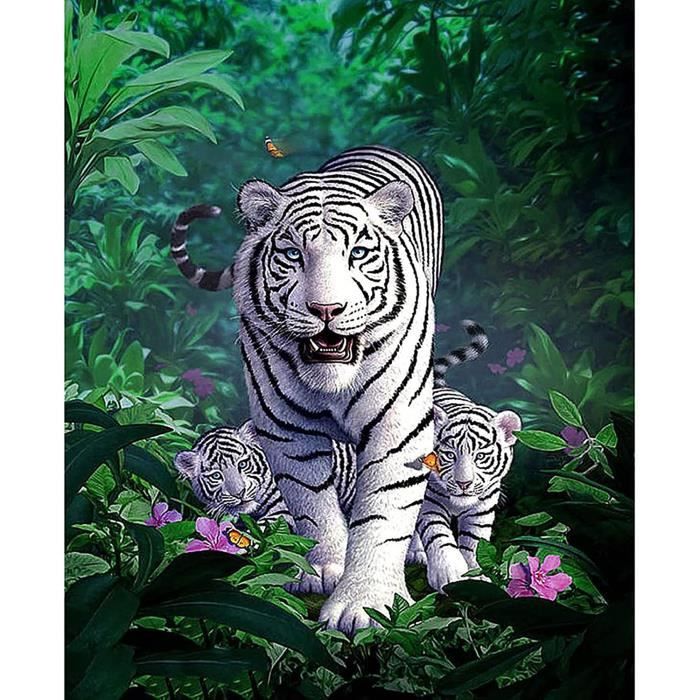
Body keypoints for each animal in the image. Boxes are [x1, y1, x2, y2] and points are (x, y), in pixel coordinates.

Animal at [170, 146, 443, 634]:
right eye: (294, 255)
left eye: (358, 254)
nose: (326, 309)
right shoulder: (286, 431)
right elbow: (311, 505)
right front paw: (319, 571)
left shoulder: (398, 429)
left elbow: (384, 515)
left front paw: (365, 606)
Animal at [409, 387, 522, 593]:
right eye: (449, 455)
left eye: (481, 456)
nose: (464, 483)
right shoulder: (430, 503)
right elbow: (438, 533)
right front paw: (449, 574)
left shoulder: (481, 510)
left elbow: (474, 543)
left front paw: (477, 578)